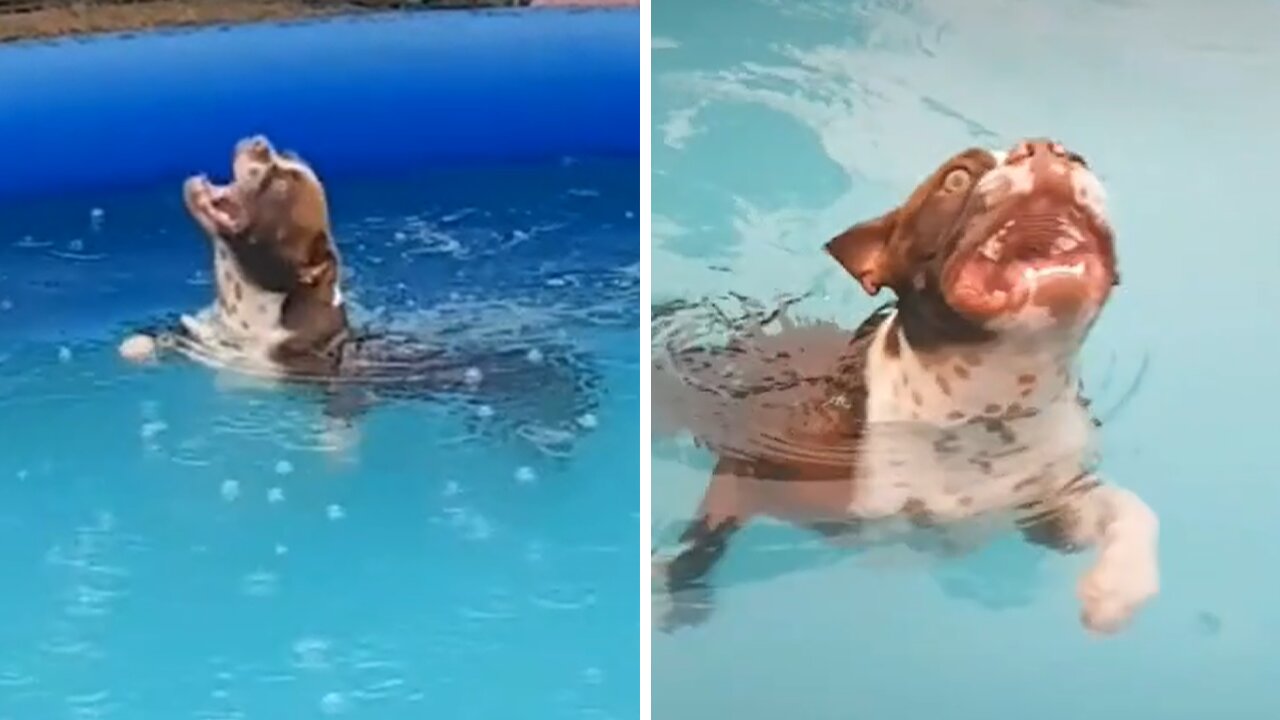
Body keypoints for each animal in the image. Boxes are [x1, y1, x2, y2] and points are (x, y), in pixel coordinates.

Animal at [124, 135, 599, 448]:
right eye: (283, 160)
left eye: (281, 184)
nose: (260, 141)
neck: (254, 304)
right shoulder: (208, 340)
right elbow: (168, 337)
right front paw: (138, 345)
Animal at [660, 139, 1162, 632]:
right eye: (955, 178)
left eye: (1079, 158)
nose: (1046, 148)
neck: (989, 401)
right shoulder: (784, 484)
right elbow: (710, 528)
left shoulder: (1046, 511)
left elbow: (1131, 506)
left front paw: (1120, 584)